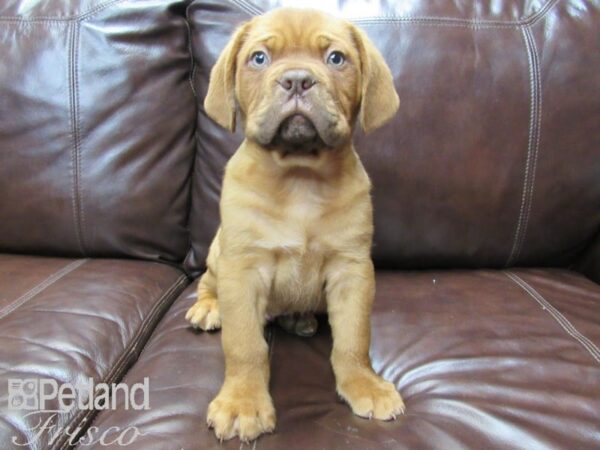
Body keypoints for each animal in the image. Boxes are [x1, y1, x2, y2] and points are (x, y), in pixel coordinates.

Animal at [186, 7, 404, 442]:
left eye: (336, 58)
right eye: (259, 58)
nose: (298, 80)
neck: (300, 178)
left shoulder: (352, 271)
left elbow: (354, 339)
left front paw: (364, 383)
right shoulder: (241, 269)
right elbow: (245, 344)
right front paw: (242, 401)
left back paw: (298, 317)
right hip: (218, 253)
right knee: (207, 284)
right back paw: (208, 307)